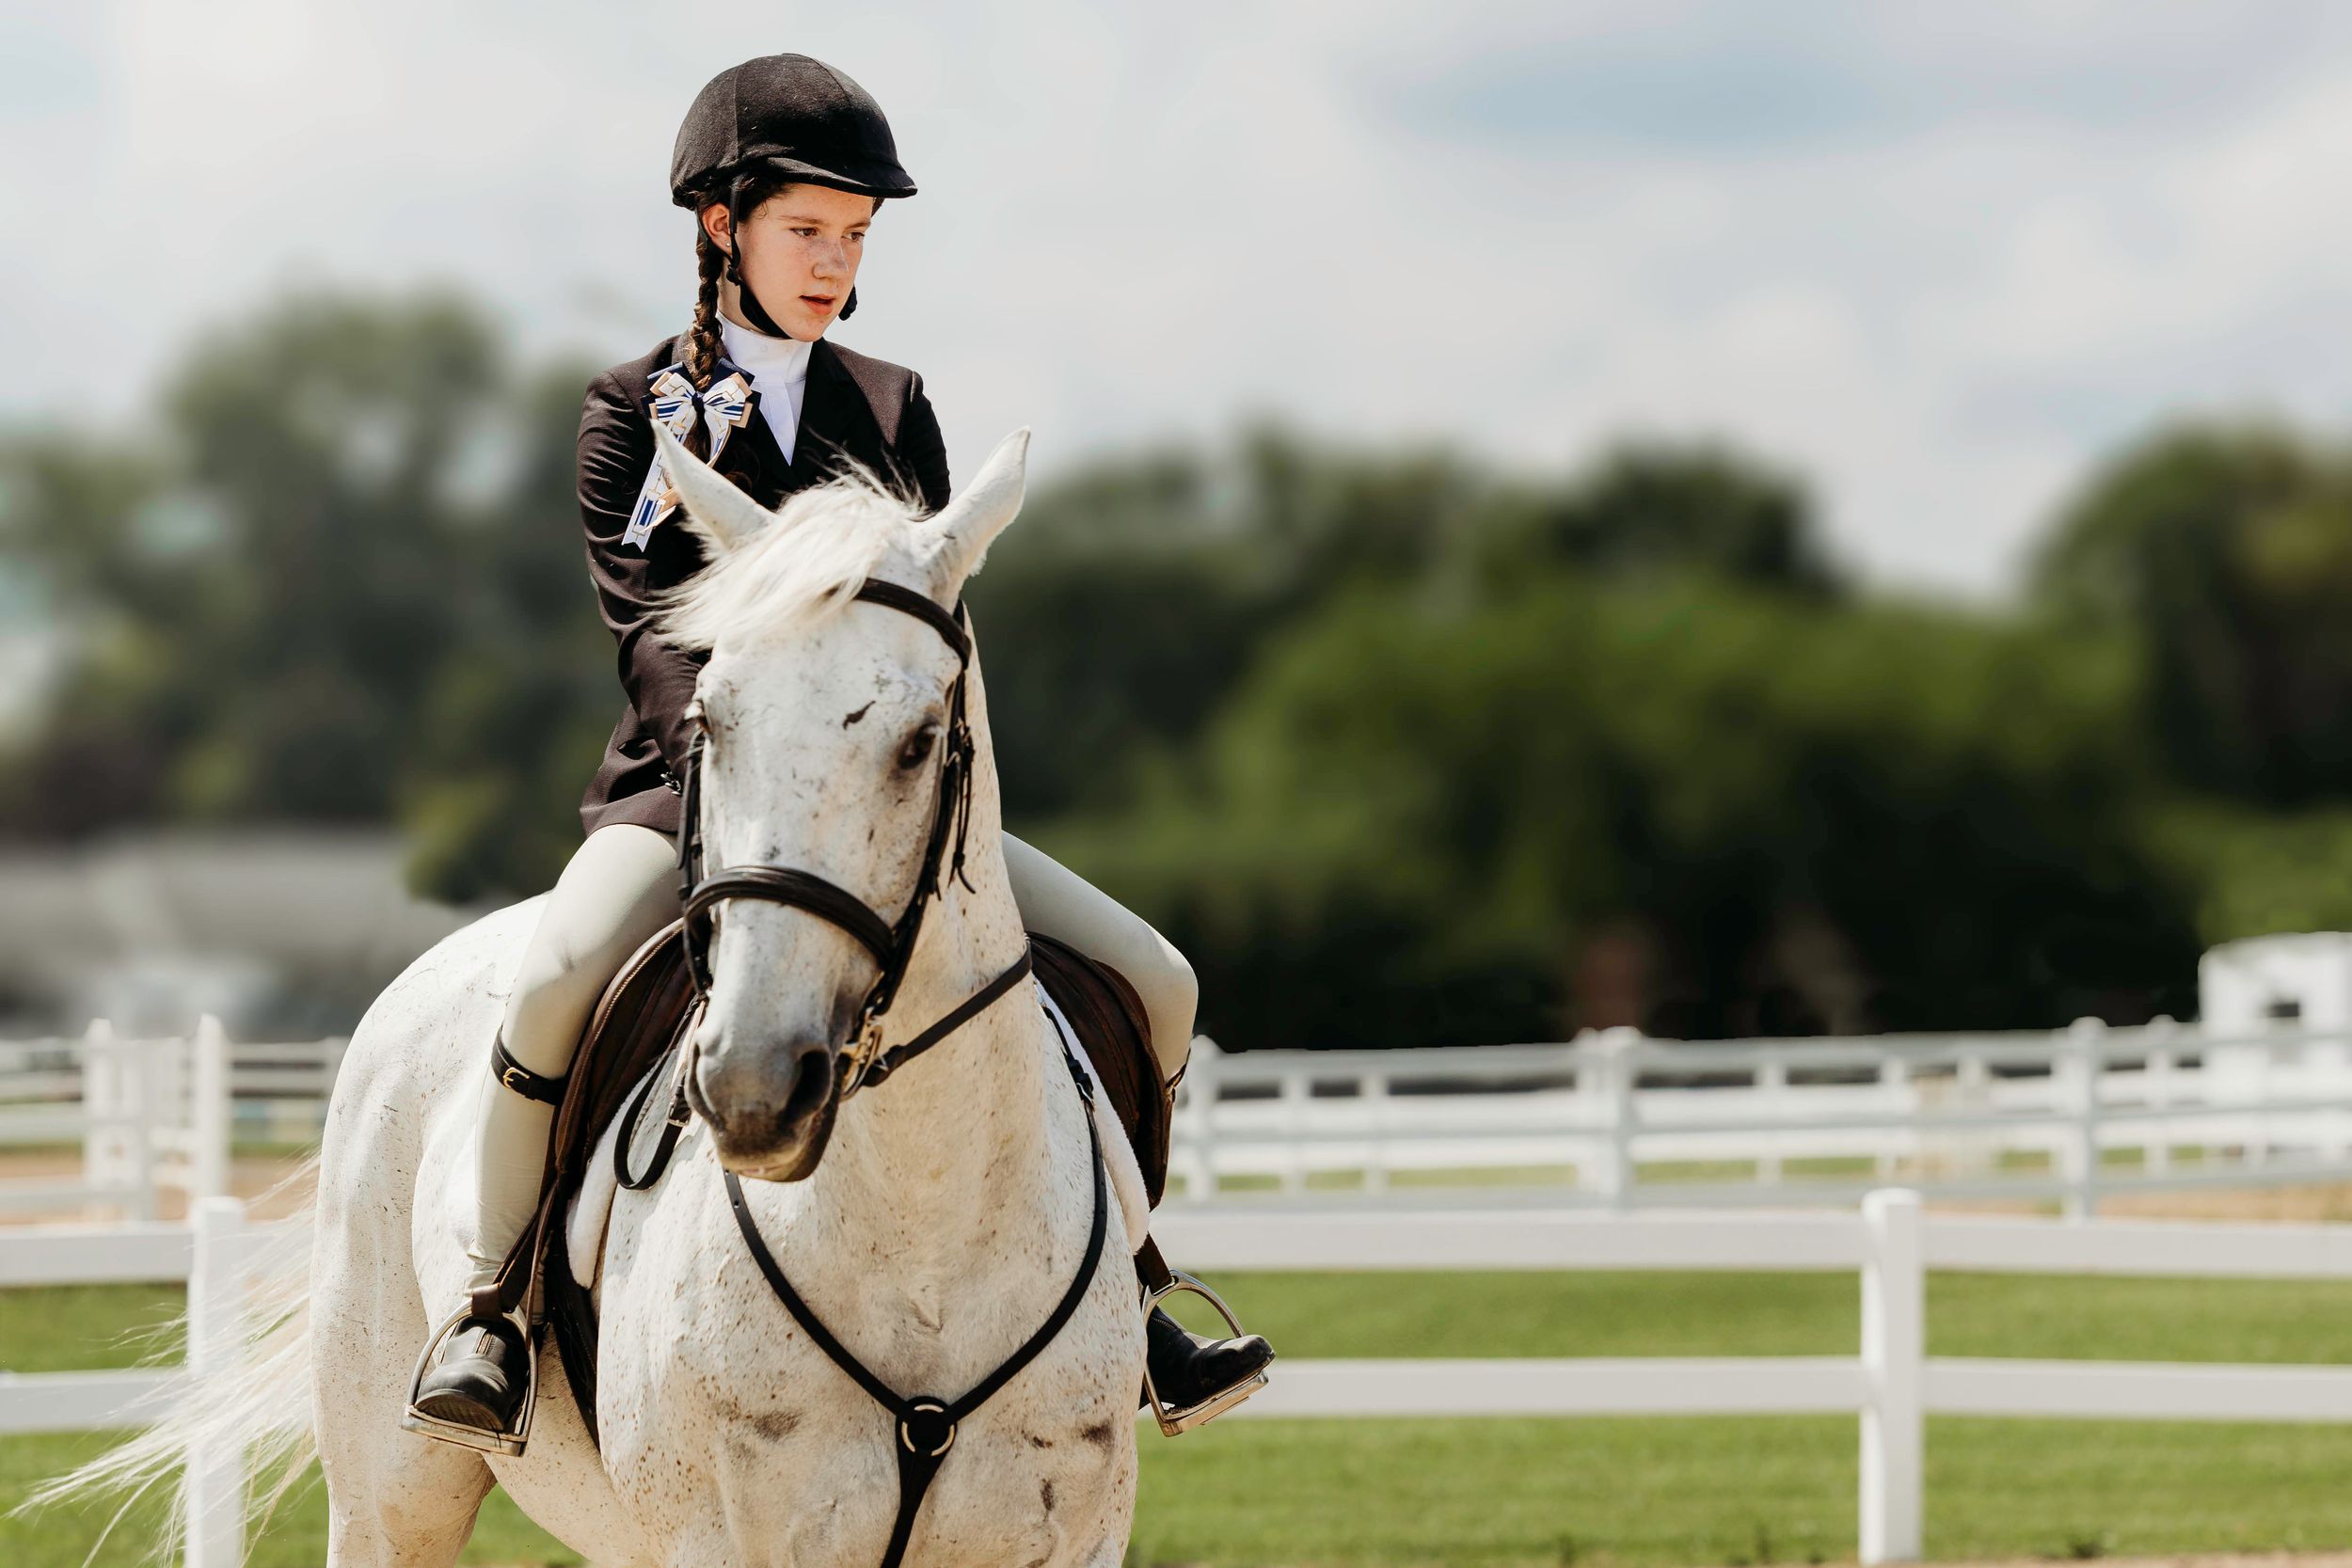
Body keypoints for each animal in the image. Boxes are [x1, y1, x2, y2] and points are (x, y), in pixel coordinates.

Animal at [48, 423, 1150, 1567]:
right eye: (711, 720)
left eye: (920, 740)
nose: (753, 1086)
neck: (921, 1235)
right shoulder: (717, 1538)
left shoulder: (1079, 1536)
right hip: (390, 1493)